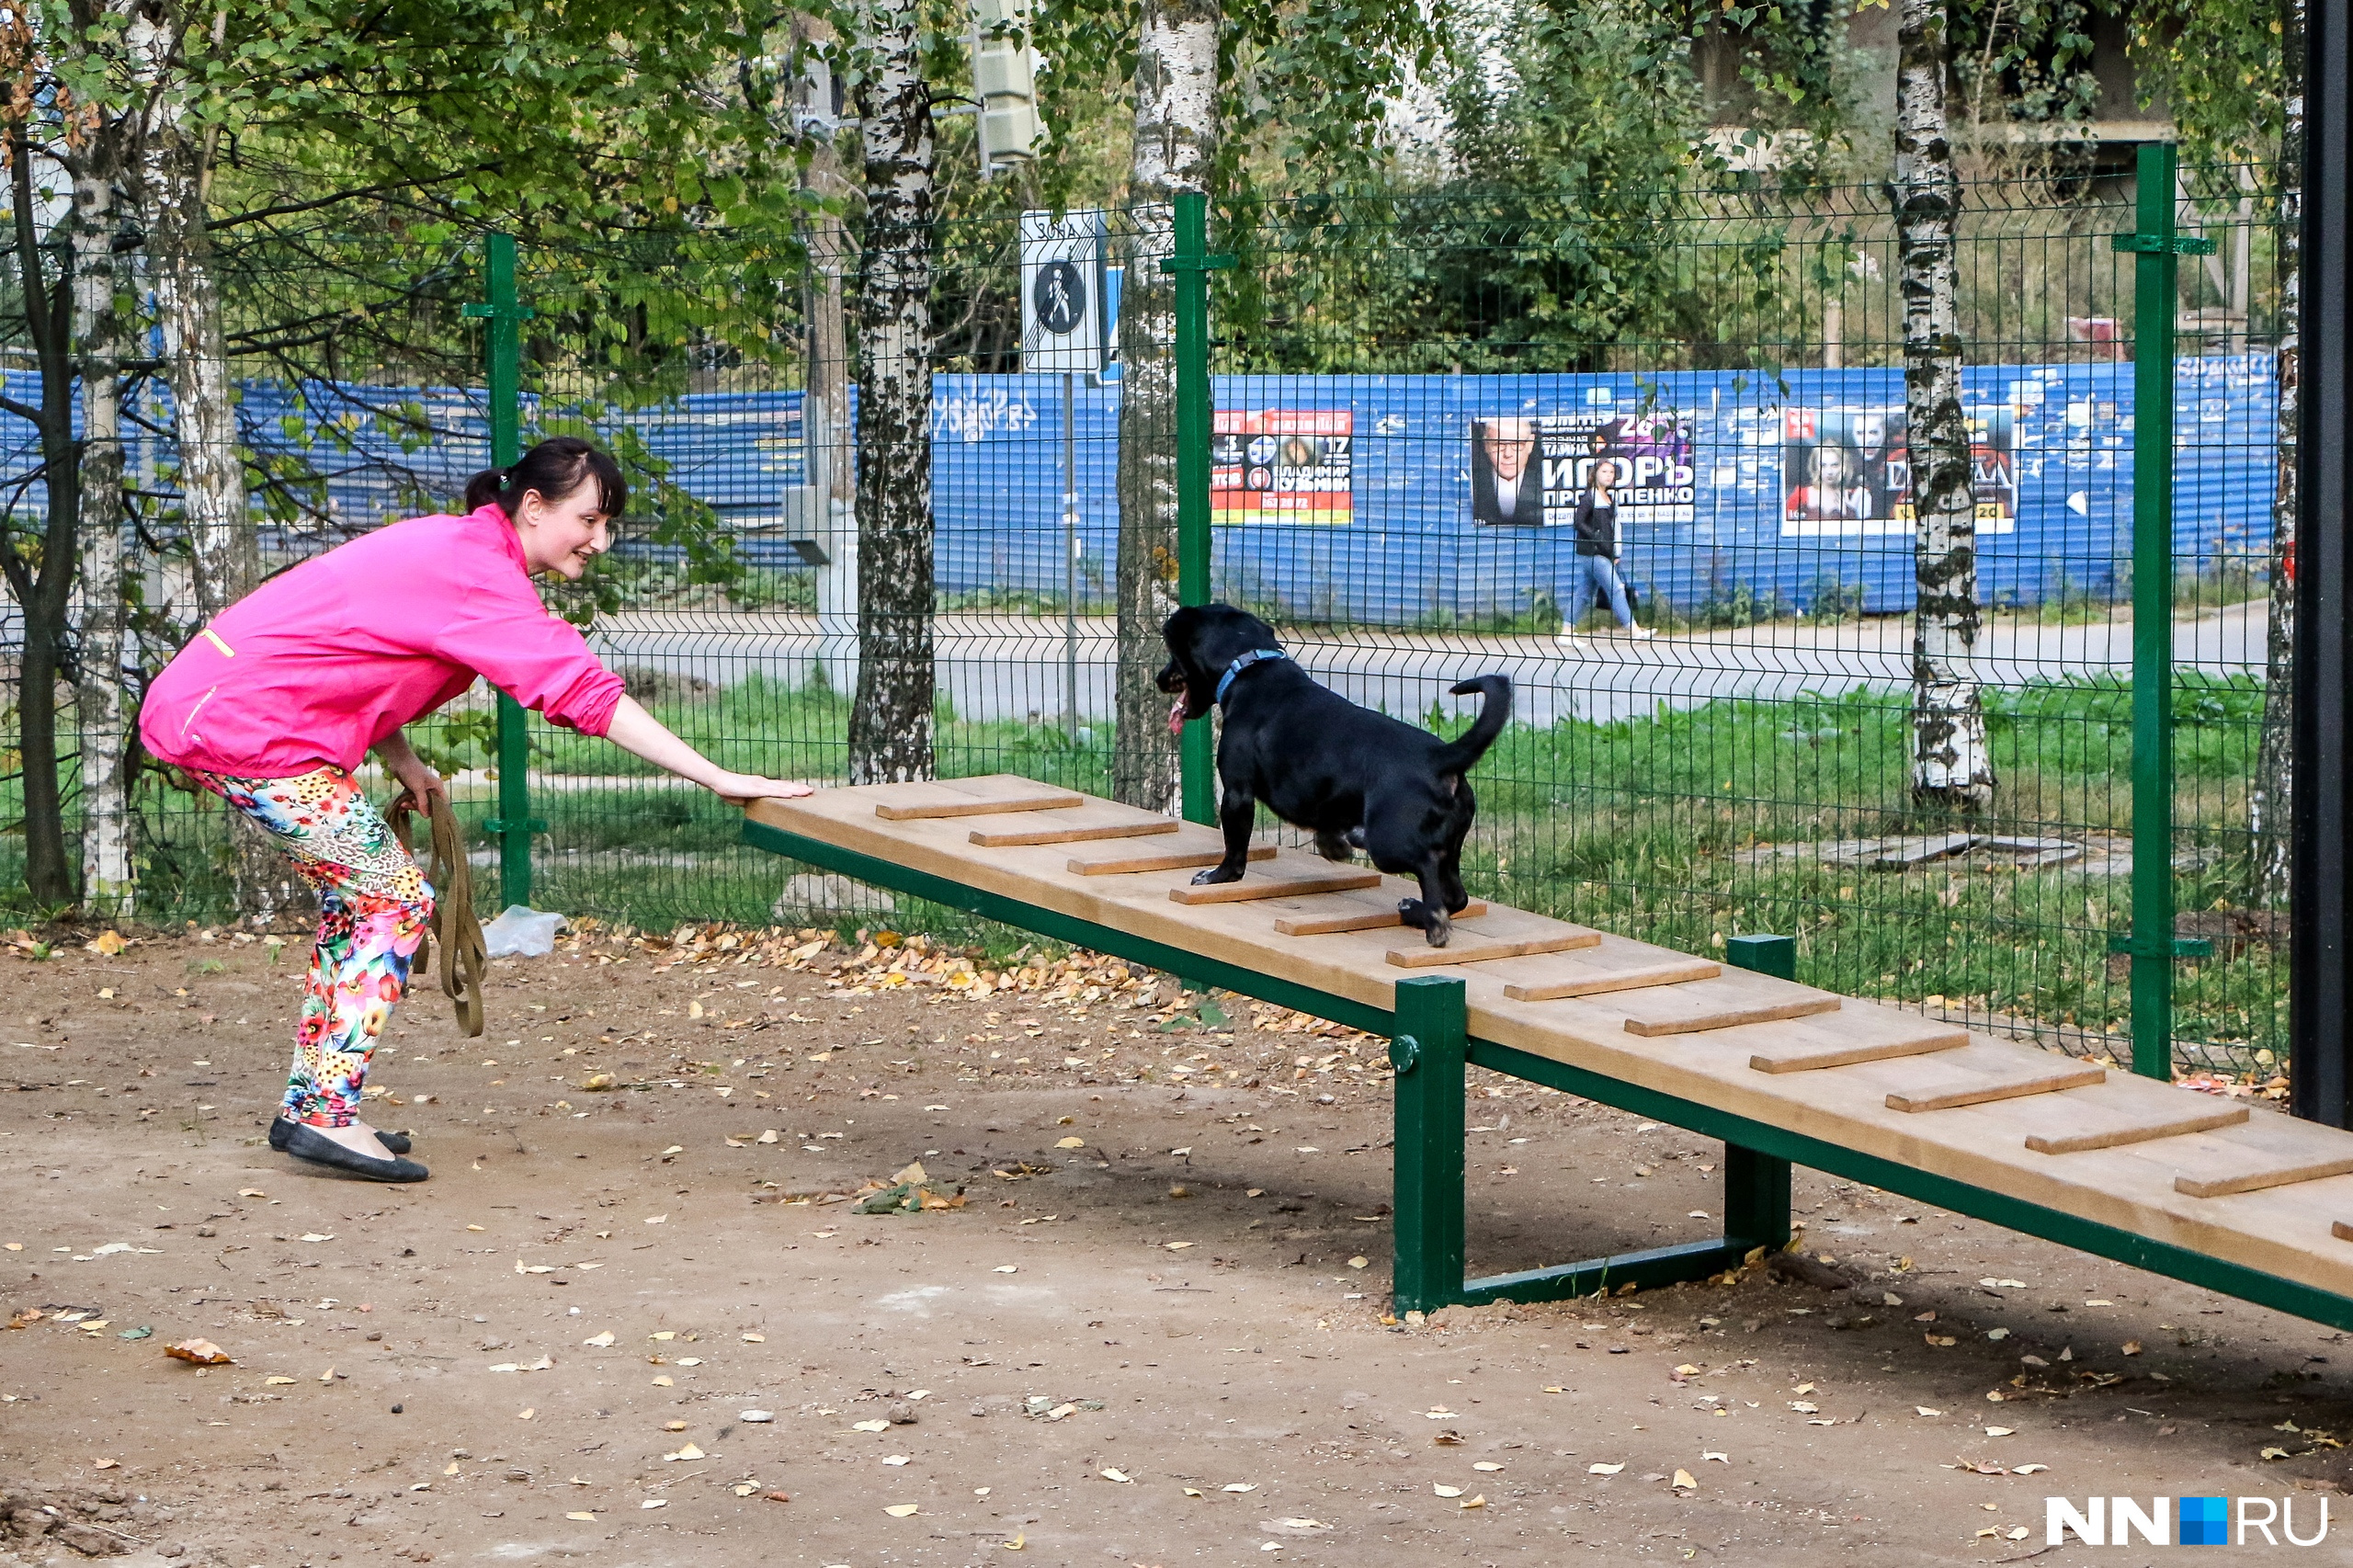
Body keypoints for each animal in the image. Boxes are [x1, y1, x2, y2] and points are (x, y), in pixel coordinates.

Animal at [1153, 597, 1506, 941]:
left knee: (1428, 866)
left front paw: (1217, 876)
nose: (1159, 678)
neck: (1248, 664)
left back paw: (1432, 922)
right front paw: (1334, 846)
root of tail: (1441, 756)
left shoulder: (1237, 793)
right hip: (1451, 846)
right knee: (1456, 896)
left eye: (1173, 656)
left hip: (1389, 842)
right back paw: (1415, 912)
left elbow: (1235, 850)